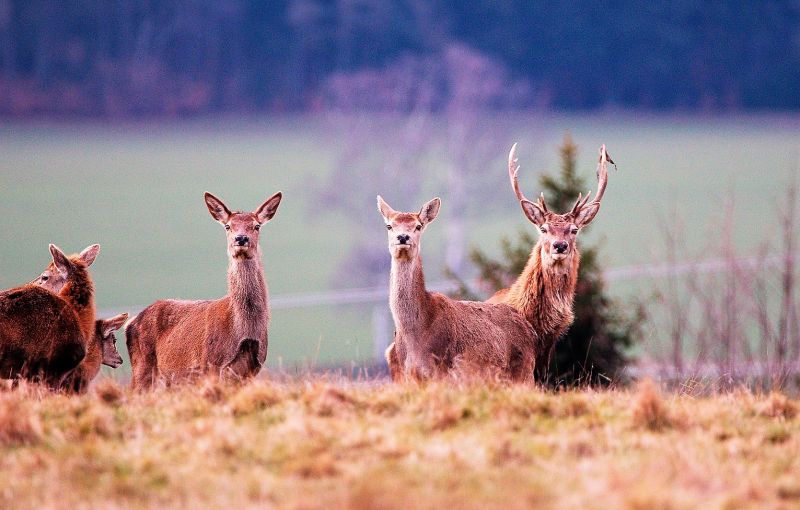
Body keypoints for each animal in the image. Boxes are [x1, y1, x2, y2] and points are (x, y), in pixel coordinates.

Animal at [126, 190, 282, 386]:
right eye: (228, 226)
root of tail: (130, 322)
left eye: (257, 226)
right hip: (142, 366)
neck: (245, 330)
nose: (241, 238)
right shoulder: (211, 363)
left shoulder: (252, 368)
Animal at [376, 195, 536, 382]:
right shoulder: (407, 374)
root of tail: (530, 329)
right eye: (389, 226)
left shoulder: (442, 368)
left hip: (524, 371)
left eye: (418, 226)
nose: (403, 237)